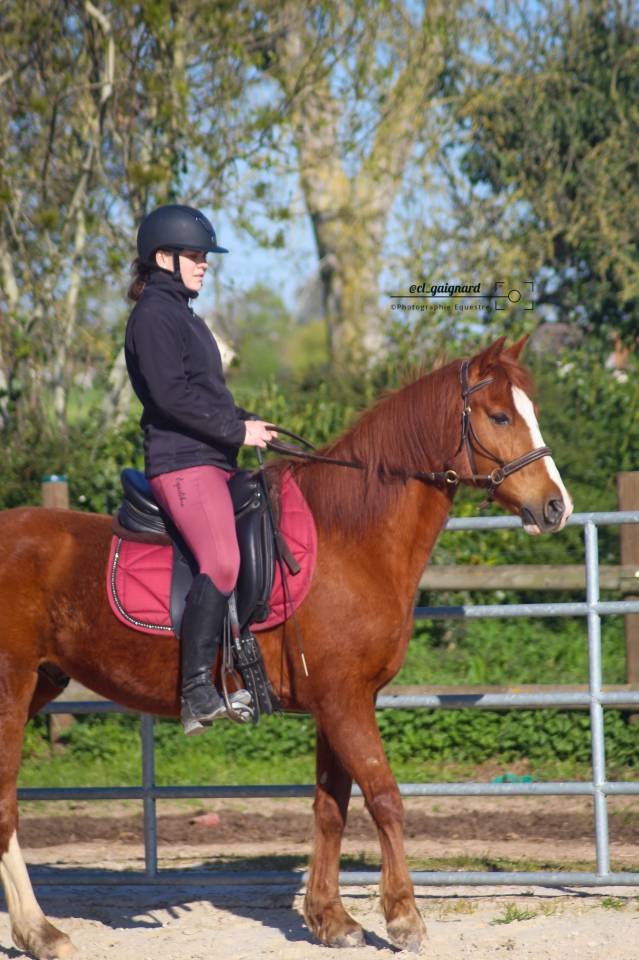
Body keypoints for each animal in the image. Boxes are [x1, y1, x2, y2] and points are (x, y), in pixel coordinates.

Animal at [0, 336, 572, 958]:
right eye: (500, 416)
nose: (556, 507)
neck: (350, 536)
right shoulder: (345, 701)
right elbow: (384, 796)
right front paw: (403, 918)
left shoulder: (338, 702)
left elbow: (331, 805)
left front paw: (331, 919)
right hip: (11, 692)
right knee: (4, 806)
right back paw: (40, 931)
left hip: (41, 684)